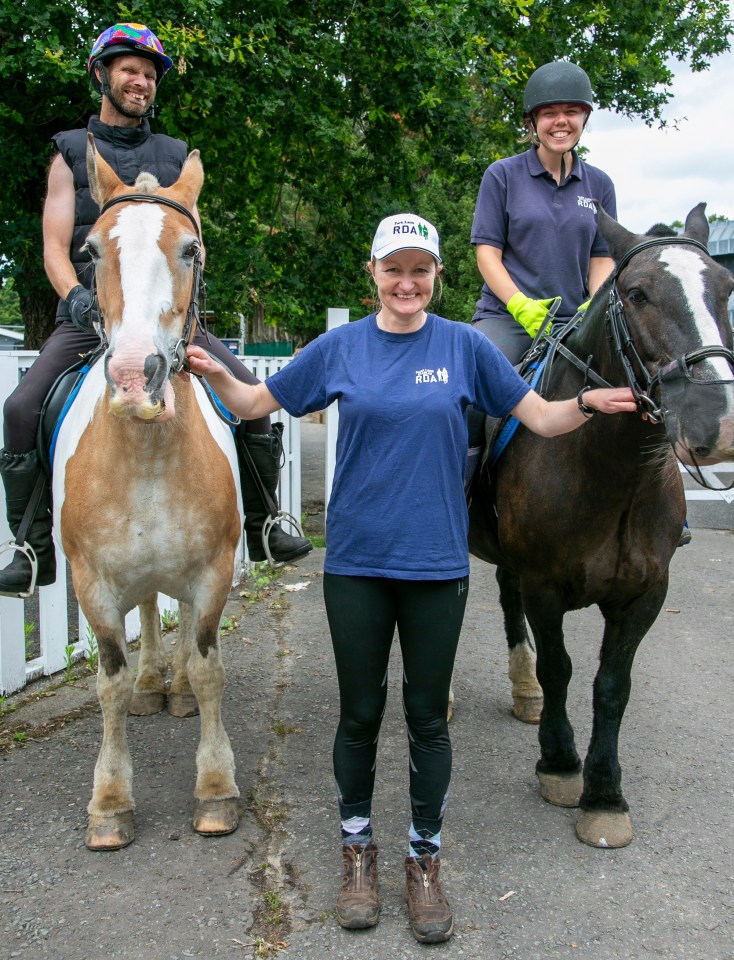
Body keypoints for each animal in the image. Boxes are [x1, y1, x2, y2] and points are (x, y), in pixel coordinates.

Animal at [54, 135, 244, 848]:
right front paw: (110, 801)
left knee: (181, 629)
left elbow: (211, 666)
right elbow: (106, 683)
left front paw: (215, 787)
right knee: (147, 618)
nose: (138, 377)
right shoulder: (93, 584)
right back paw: (150, 684)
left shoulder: (212, 571)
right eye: (90, 252)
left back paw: (177, 687)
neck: (147, 455)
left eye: (190, 249)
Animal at [468, 204, 734, 848]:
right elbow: (562, 669)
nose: (718, 423)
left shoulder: (645, 595)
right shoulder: (545, 586)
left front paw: (606, 795)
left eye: (726, 289)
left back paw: (525, 691)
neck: (610, 472)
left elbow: (612, 688)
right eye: (637, 294)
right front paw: (561, 765)